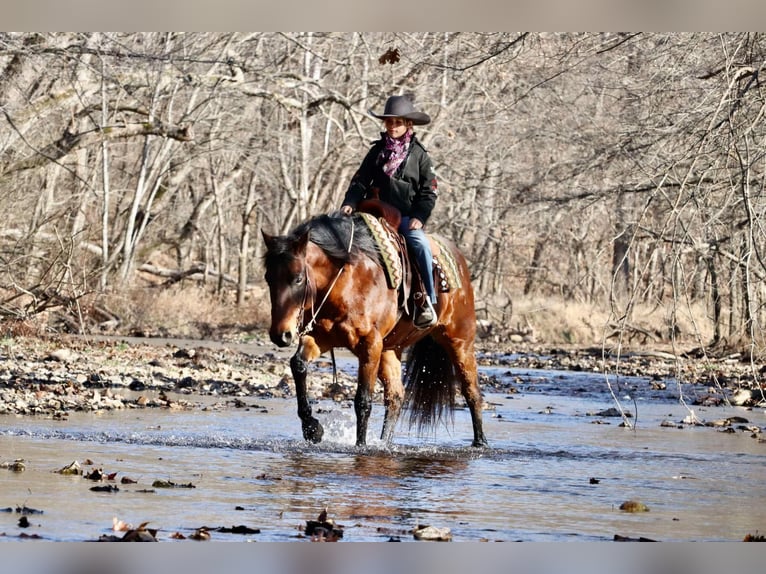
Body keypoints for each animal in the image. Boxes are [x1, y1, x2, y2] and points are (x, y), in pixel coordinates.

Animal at [260, 212, 488, 450]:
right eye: (268, 278)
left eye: (298, 278)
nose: (280, 334)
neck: (346, 281)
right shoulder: (320, 338)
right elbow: (298, 365)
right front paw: (312, 428)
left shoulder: (369, 345)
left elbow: (363, 400)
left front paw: (360, 445)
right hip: (390, 349)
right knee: (396, 395)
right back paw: (384, 442)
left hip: (459, 342)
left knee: (471, 391)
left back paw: (480, 442)